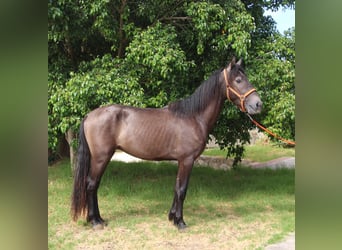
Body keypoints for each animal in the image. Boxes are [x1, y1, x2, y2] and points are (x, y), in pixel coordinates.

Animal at [70, 57, 262, 229]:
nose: (258, 104)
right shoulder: (187, 160)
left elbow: (176, 188)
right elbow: (182, 190)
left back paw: (98, 219)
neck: (194, 116)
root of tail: (89, 116)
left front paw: (172, 217)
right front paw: (180, 222)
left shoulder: (181, 161)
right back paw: (95, 221)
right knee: (91, 184)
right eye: (238, 80)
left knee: (94, 185)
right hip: (101, 157)